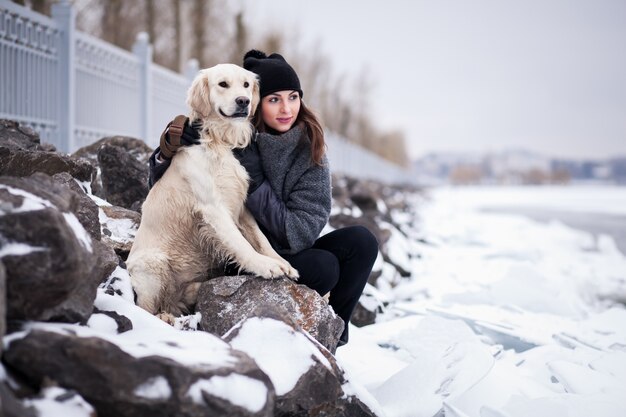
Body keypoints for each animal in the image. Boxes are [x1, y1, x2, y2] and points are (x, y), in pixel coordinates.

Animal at [126, 64, 298, 322]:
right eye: (223, 84)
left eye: (246, 84)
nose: (244, 101)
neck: (221, 140)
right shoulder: (213, 208)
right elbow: (241, 244)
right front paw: (265, 265)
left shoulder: (242, 207)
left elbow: (261, 238)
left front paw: (281, 261)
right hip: (152, 265)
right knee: (146, 308)